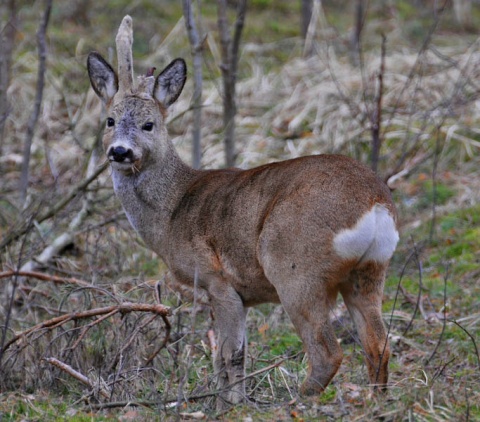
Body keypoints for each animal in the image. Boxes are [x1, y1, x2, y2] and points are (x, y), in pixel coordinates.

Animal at [88, 15, 400, 408]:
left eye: (149, 124)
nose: (120, 152)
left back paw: (295, 403)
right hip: (370, 271)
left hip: (294, 266)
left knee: (328, 352)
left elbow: (227, 353)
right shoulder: (242, 295)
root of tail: (375, 205)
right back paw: (377, 402)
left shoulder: (216, 280)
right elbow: (236, 354)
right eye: (110, 120)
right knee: (379, 345)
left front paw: (230, 405)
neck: (172, 212)